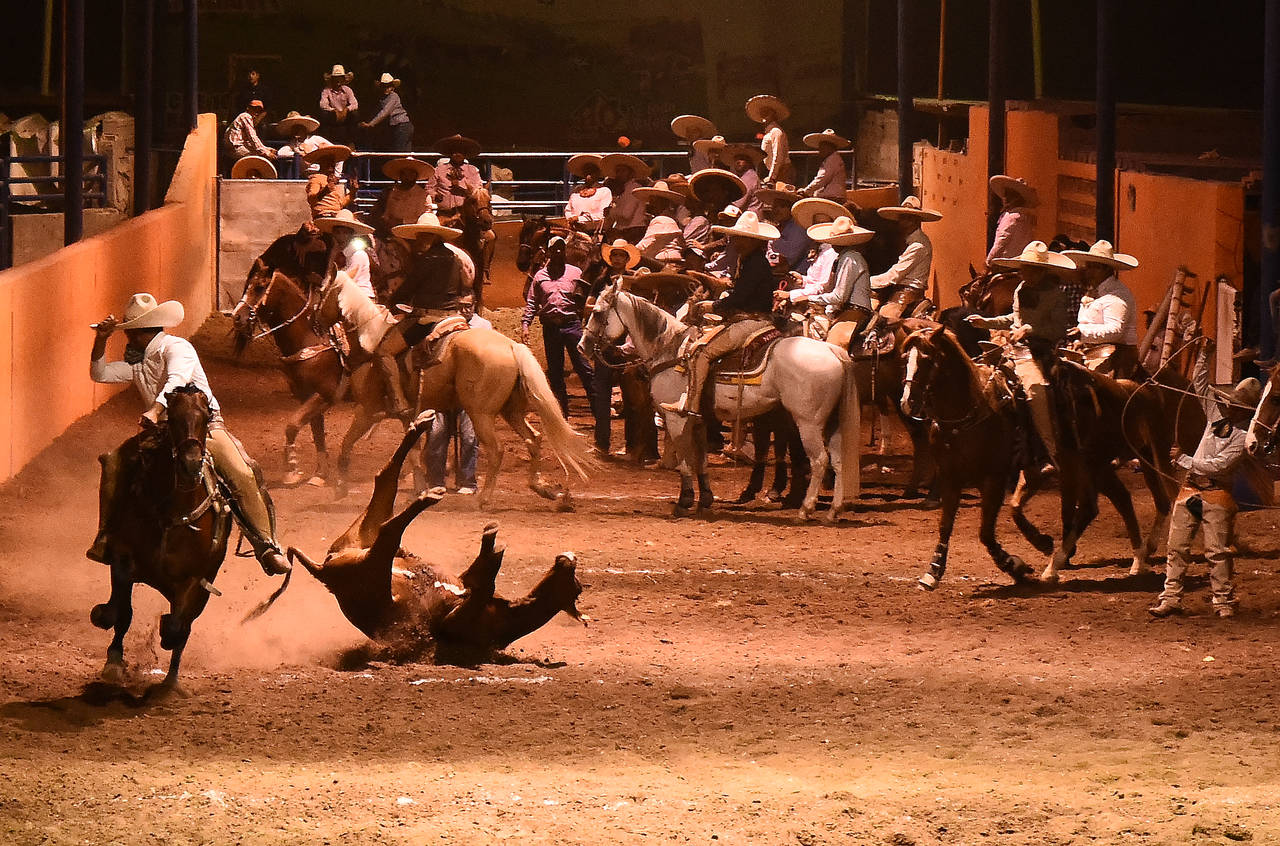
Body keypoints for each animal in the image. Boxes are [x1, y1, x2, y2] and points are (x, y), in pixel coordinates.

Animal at [93, 386, 240, 691]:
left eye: (206, 416)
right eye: (172, 417)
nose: (191, 463)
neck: (171, 512)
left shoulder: (195, 580)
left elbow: (176, 627)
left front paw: (164, 635)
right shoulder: (123, 561)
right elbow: (122, 613)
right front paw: (113, 660)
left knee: (184, 627)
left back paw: (171, 681)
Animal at [247, 412, 586, 665]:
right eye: (577, 583)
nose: (569, 558)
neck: (507, 614)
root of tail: (322, 570)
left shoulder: (455, 622)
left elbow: (482, 583)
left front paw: (492, 546)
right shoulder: (466, 595)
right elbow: (481, 576)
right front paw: (491, 541)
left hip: (368, 565)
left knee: (387, 519)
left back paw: (427, 488)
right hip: (365, 545)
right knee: (386, 496)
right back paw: (423, 444)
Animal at [581, 284, 860, 517]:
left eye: (598, 313)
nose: (583, 346)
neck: (670, 351)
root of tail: (832, 350)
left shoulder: (676, 419)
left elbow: (685, 461)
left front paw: (684, 501)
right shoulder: (700, 420)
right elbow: (701, 461)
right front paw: (705, 499)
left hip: (808, 422)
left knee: (820, 460)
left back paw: (805, 509)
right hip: (832, 422)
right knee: (838, 459)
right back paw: (833, 511)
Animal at [901, 323, 1177, 586]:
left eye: (927, 358)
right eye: (906, 359)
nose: (907, 402)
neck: (973, 410)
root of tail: (1128, 389)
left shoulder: (994, 478)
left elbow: (986, 532)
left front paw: (1016, 566)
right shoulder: (952, 477)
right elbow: (947, 525)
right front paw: (933, 571)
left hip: (1099, 463)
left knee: (1116, 503)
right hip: (1093, 466)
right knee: (1113, 501)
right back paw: (1128, 559)